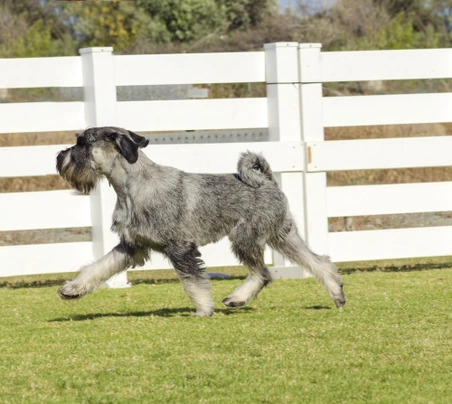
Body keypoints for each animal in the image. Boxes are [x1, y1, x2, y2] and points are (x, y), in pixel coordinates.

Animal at [57, 126, 346, 316]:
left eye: (83, 143)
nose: (59, 156)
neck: (131, 188)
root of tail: (267, 181)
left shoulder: (180, 247)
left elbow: (193, 281)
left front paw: (204, 310)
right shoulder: (132, 246)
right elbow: (99, 267)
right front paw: (72, 288)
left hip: (245, 238)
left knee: (262, 273)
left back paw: (237, 298)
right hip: (283, 236)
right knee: (318, 262)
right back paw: (337, 293)